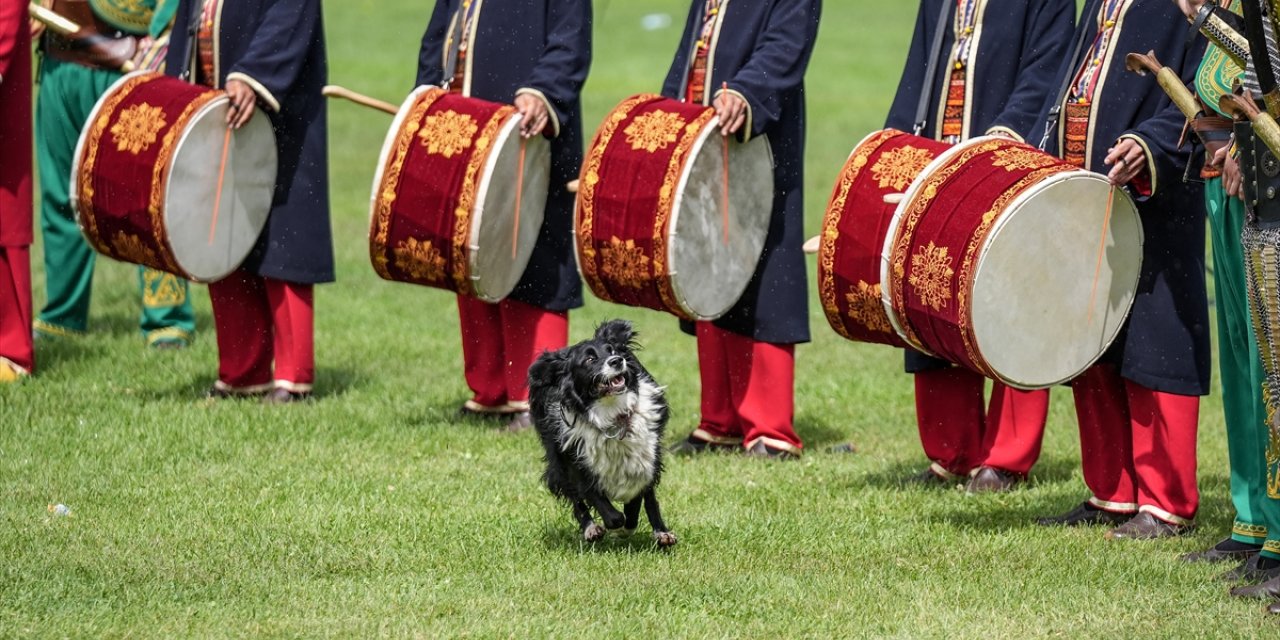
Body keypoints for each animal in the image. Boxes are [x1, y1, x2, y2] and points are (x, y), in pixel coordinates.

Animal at [524, 318, 675, 545]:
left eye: (611, 350)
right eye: (589, 359)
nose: (617, 360)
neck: (611, 413)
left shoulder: (648, 455)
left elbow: (642, 494)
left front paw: (644, 526)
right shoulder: (575, 456)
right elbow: (601, 504)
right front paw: (613, 524)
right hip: (558, 459)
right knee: (576, 498)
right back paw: (591, 528)